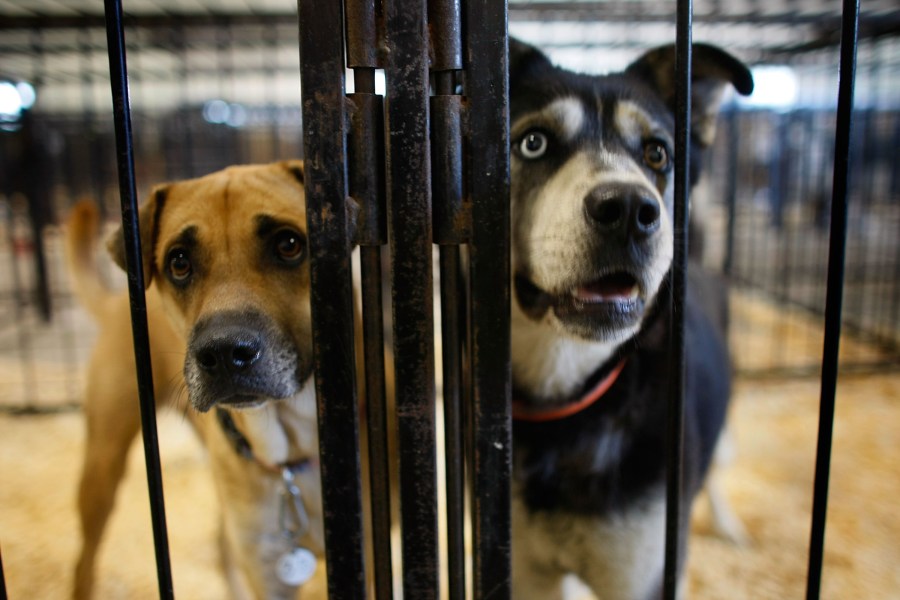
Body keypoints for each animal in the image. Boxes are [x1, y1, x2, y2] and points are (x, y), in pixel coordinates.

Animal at [67, 162, 326, 596]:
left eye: (289, 245)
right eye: (179, 263)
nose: (223, 354)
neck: (291, 457)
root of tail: (117, 300)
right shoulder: (268, 569)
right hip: (102, 462)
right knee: (84, 561)